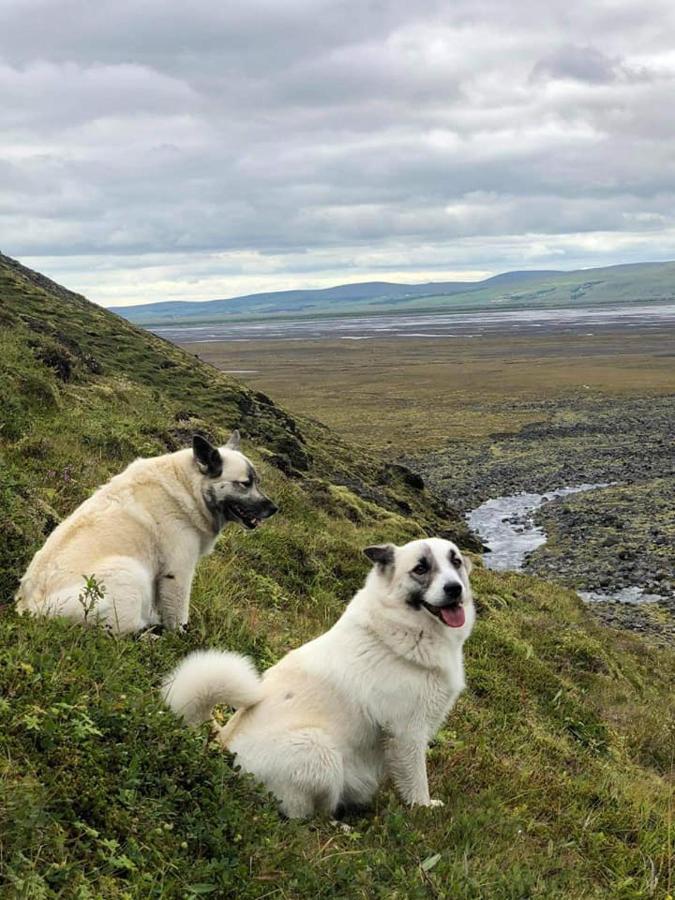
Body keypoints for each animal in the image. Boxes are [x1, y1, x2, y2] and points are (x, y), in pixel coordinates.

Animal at [17, 434, 278, 632]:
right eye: (245, 484)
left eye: (257, 481)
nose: (274, 508)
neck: (189, 487)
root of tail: (30, 610)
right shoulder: (178, 573)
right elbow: (178, 616)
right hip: (129, 573)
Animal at [162, 536, 476, 820]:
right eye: (421, 568)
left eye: (456, 562)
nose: (455, 589)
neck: (402, 628)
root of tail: (223, 747)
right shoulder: (406, 733)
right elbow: (416, 781)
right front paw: (423, 809)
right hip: (319, 751)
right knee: (306, 816)